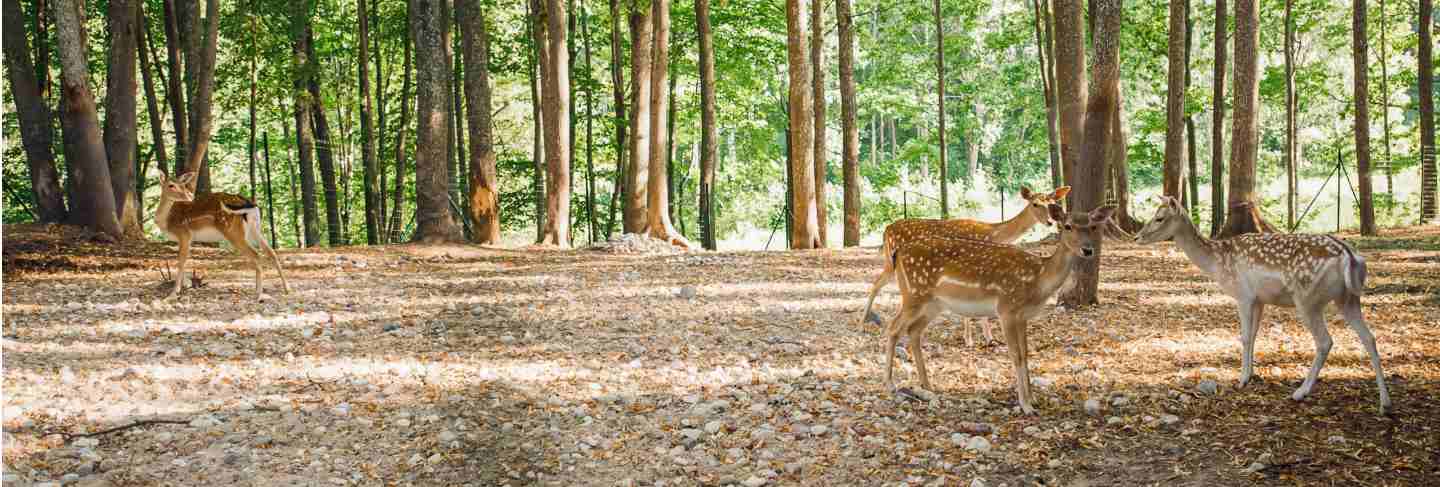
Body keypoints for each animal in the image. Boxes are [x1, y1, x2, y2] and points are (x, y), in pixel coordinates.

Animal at [154, 171, 289, 301]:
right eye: (171, 185)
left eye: (183, 185)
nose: (189, 197)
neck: (166, 222)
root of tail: (250, 204)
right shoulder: (185, 239)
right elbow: (185, 260)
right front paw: (185, 286)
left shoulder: (184, 234)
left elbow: (181, 262)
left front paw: (173, 294)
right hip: (254, 229)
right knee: (271, 252)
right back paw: (286, 289)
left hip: (233, 231)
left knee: (256, 254)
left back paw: (259, 294)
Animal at [852, 184, 1071, 348]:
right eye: (1035, 204)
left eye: (1052, 203)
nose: (1050, 222)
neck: (994, 234)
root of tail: (886, 229)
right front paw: (973, 339)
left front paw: (987, 338)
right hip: (892, 263)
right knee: (876, 285)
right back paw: (862, 326)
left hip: (892, 264)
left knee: (880, 285)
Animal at [875, 203, 1111, 412]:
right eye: (1068, 226)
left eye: (1092, 226)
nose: (1088, 250)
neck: (1038, 280)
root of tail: (898, 252)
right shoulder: (1006, 309)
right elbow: (1015, 355)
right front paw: (1025, 405)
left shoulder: (1023, 316)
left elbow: (1026, 354)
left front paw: (1033, 399)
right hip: (913, 294)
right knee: (893, 328)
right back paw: (890, 384)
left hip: (933, 303)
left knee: (914, 331)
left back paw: (928, 385)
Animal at [1128, 195, 1388, 412]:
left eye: (1159, 217)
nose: (1136, 237)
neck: (1217, 264)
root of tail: (1349, 256)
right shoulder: (1260, 300)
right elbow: (1253, 335)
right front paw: (1251, 374)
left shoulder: (1243, 295)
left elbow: (1243, 336)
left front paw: (1242, 379)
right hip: (1349, 298)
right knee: (1370, 337)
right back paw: (1385, 403)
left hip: (1308, 298)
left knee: (1325, 341)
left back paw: (1300, 392)